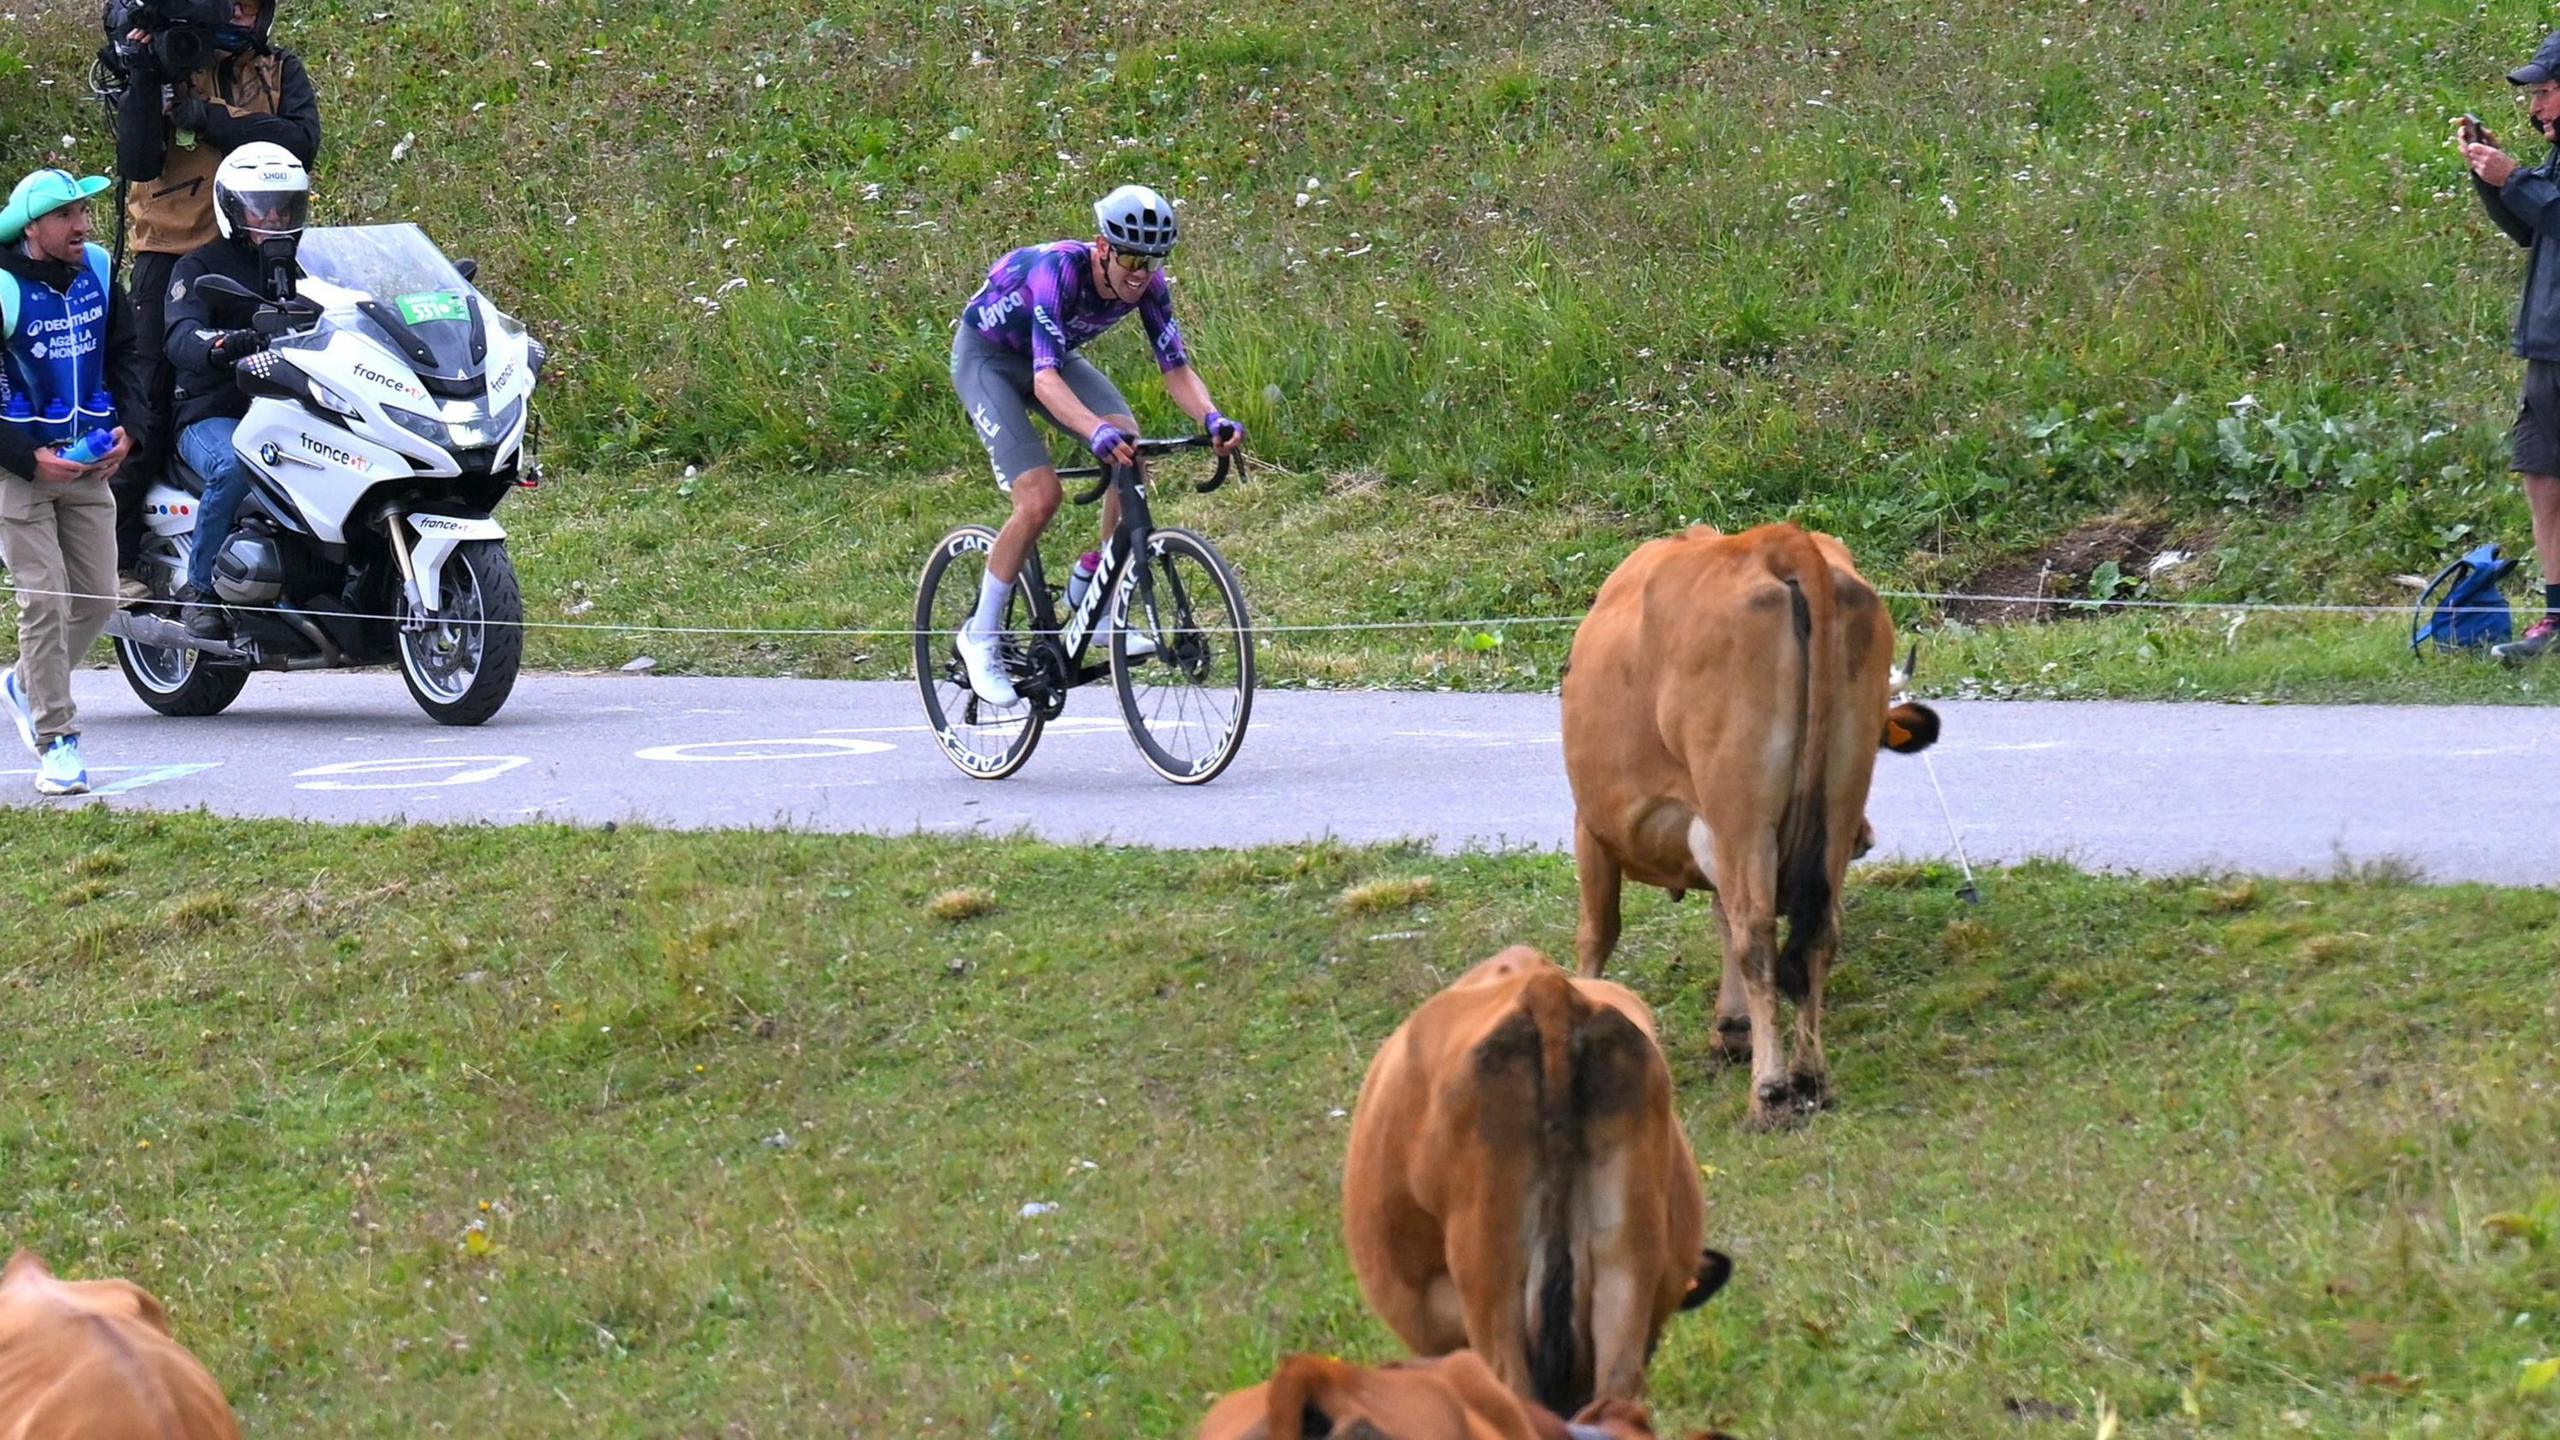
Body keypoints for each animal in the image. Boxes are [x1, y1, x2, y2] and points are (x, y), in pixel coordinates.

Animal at [1561, 521, 1940, 1131]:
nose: (1867, 838)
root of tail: (1780, 539)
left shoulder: (1592, 827)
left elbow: (1598, 932)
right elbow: (1718, 913)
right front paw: (1731, 1029)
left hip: (1739, 807)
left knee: (1756, 936)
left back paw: (1770, 1091)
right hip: (1835, 797)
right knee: (1816, 932)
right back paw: (1810, 1078)